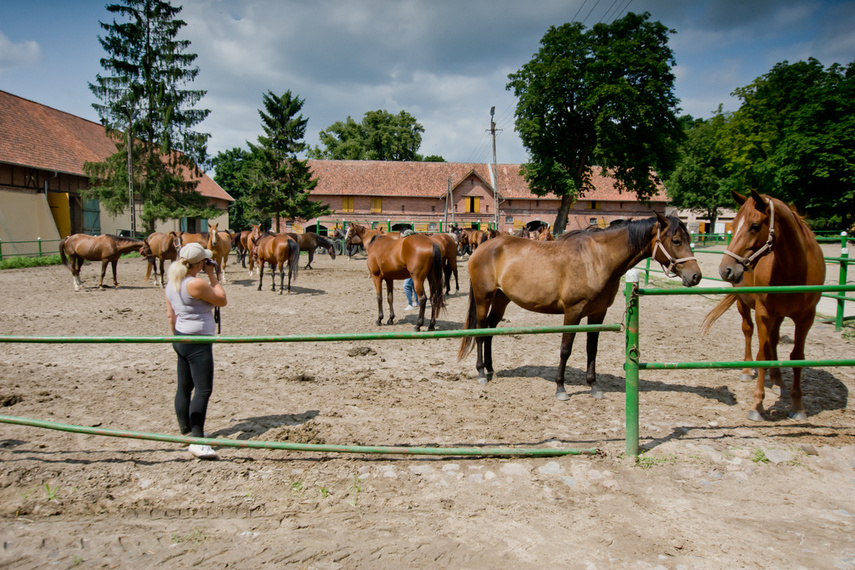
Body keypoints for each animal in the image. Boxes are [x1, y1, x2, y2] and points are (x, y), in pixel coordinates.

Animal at [458, 214, 700, 400]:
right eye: (676, 240)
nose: (695, 276)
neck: (596, 260)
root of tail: (482, 247)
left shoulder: (598, 314)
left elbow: (591, 349)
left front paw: (594, 386)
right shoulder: (572, 312)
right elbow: (566, 349)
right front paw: (560, 388)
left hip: (501, 299)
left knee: (490, 331)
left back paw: (491, 370)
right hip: (483, 298)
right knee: (480, 332)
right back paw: (481, 373)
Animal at [704, 189, 828, 420]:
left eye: (754, 226)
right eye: (733, 224)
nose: (725, 269)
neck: (794, 268)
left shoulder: (807, 316)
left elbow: (797, 356)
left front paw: (797, 405)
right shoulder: (764, 312)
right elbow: (761, 354)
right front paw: (757, 405)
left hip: (779, 314)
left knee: (774, 340)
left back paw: (778, 379)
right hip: (745, 305)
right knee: (749, 331)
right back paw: (748, 370)